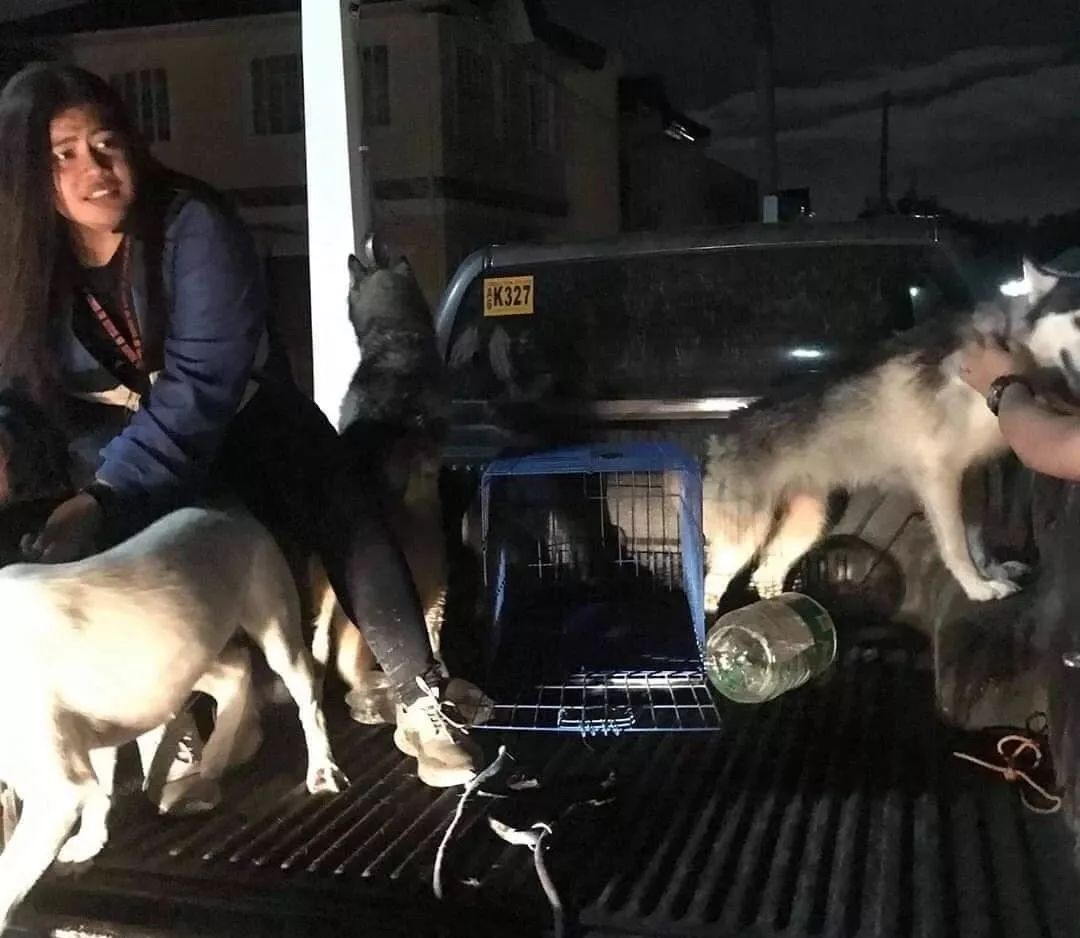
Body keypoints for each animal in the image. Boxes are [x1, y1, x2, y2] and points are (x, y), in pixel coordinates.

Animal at [0, 500, 341, 923]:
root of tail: (229, 511)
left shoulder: (57, 787)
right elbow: (99, 794)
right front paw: (90, 843)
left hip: (276, 630)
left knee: (306, 698)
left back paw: (320, 769)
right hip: (189, 658)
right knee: (236, 670)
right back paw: (217, 753)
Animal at [699, 255, 1080, 608]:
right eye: (1078, 318)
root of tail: (721, 432)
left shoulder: (971, 476)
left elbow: (976, 539)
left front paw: (993, 572)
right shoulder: (937, 478)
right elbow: (956, 545)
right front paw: (977, 588)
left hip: (808, 524)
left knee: (767, 572)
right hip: (741, 540)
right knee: (710, 587)